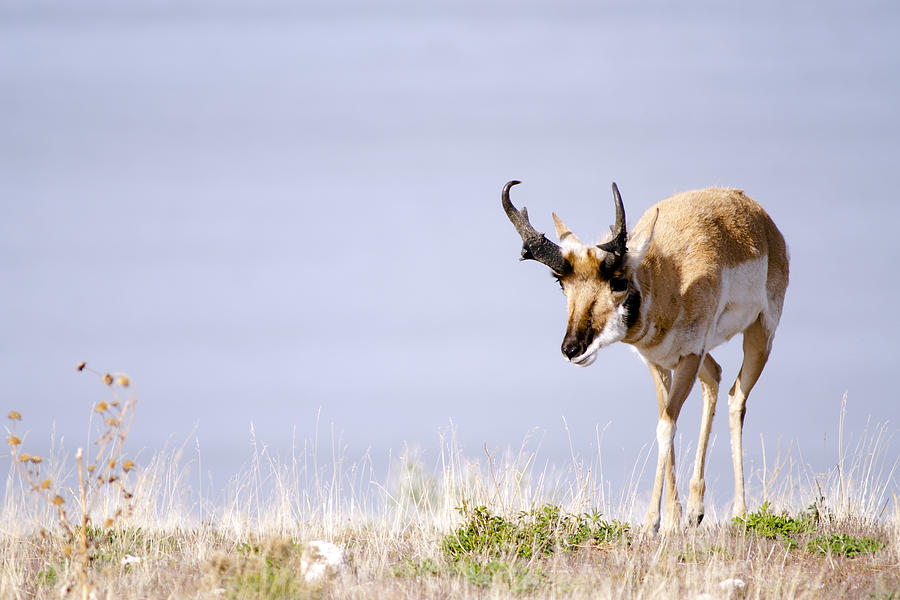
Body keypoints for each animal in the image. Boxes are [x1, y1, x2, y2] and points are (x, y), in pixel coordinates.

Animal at [502, 178, 792, 528]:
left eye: (618, 281)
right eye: (561, 282)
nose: (571, 349)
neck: (672, 278)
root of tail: (758, 214)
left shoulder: (689, 356)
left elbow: (666, 426)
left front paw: (653, 525)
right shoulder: (659, 362)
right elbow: (665, 422)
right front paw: (673, 518)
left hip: (759, 336)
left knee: (737, 399)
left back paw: (739, 512)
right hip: (703, 359)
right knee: (716, 378)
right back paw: (696, 510)